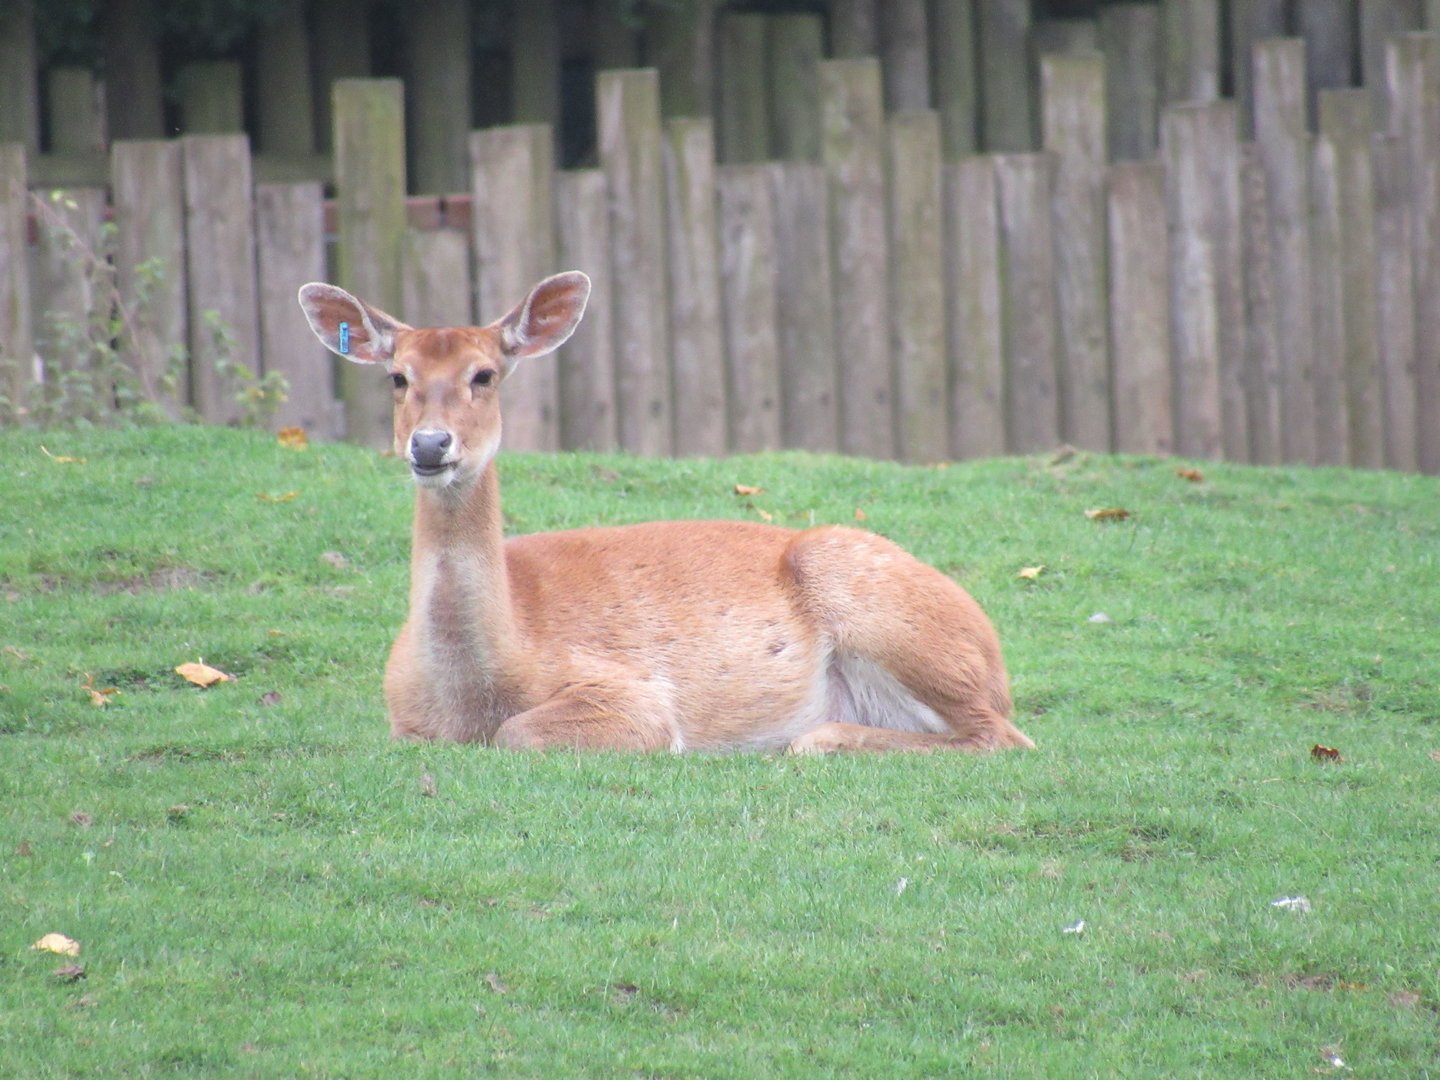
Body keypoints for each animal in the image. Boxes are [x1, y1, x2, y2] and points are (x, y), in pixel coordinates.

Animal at [297, 271, 1034, 754]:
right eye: (397, 377)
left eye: (485, 374)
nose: (429, 445)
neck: (474, 689)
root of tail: (995, 654)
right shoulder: (402, 724)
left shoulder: (628, 692)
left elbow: (521, 733)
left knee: (1002, 735)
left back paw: (811, 738)